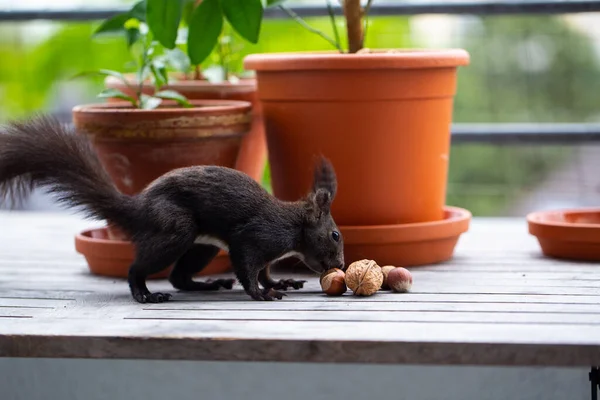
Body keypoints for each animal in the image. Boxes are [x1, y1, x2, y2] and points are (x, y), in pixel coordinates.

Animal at [0, 115, 344, 304]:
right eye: (336, 235)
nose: (340, 264)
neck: (292, 224)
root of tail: (137, 208)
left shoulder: (267, 251)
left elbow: (266, 271)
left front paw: (279, 283)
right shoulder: (256, 236)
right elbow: (248, 267)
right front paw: (262, 294)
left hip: (202, 247)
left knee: (179, 277)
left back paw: (208, 284)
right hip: (176, 229)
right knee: (138, 269)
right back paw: (145, 294)